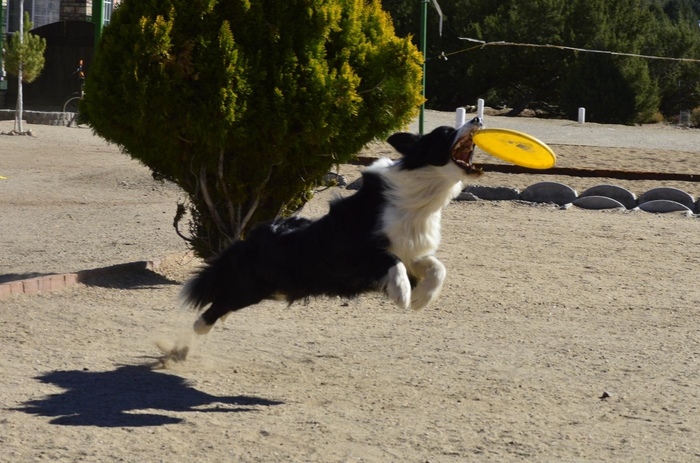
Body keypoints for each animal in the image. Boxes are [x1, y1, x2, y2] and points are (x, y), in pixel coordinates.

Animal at [183, 116, 484, 334]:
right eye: (445, 132)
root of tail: (248, 238)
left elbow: (436, 266)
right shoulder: (351, 252)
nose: (478, 118)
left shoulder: (412, 251)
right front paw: (402, 294)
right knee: (215, 306)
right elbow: (389, 258)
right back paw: (189, 340)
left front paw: (422, 297)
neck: (421, 195)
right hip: (252, 286)